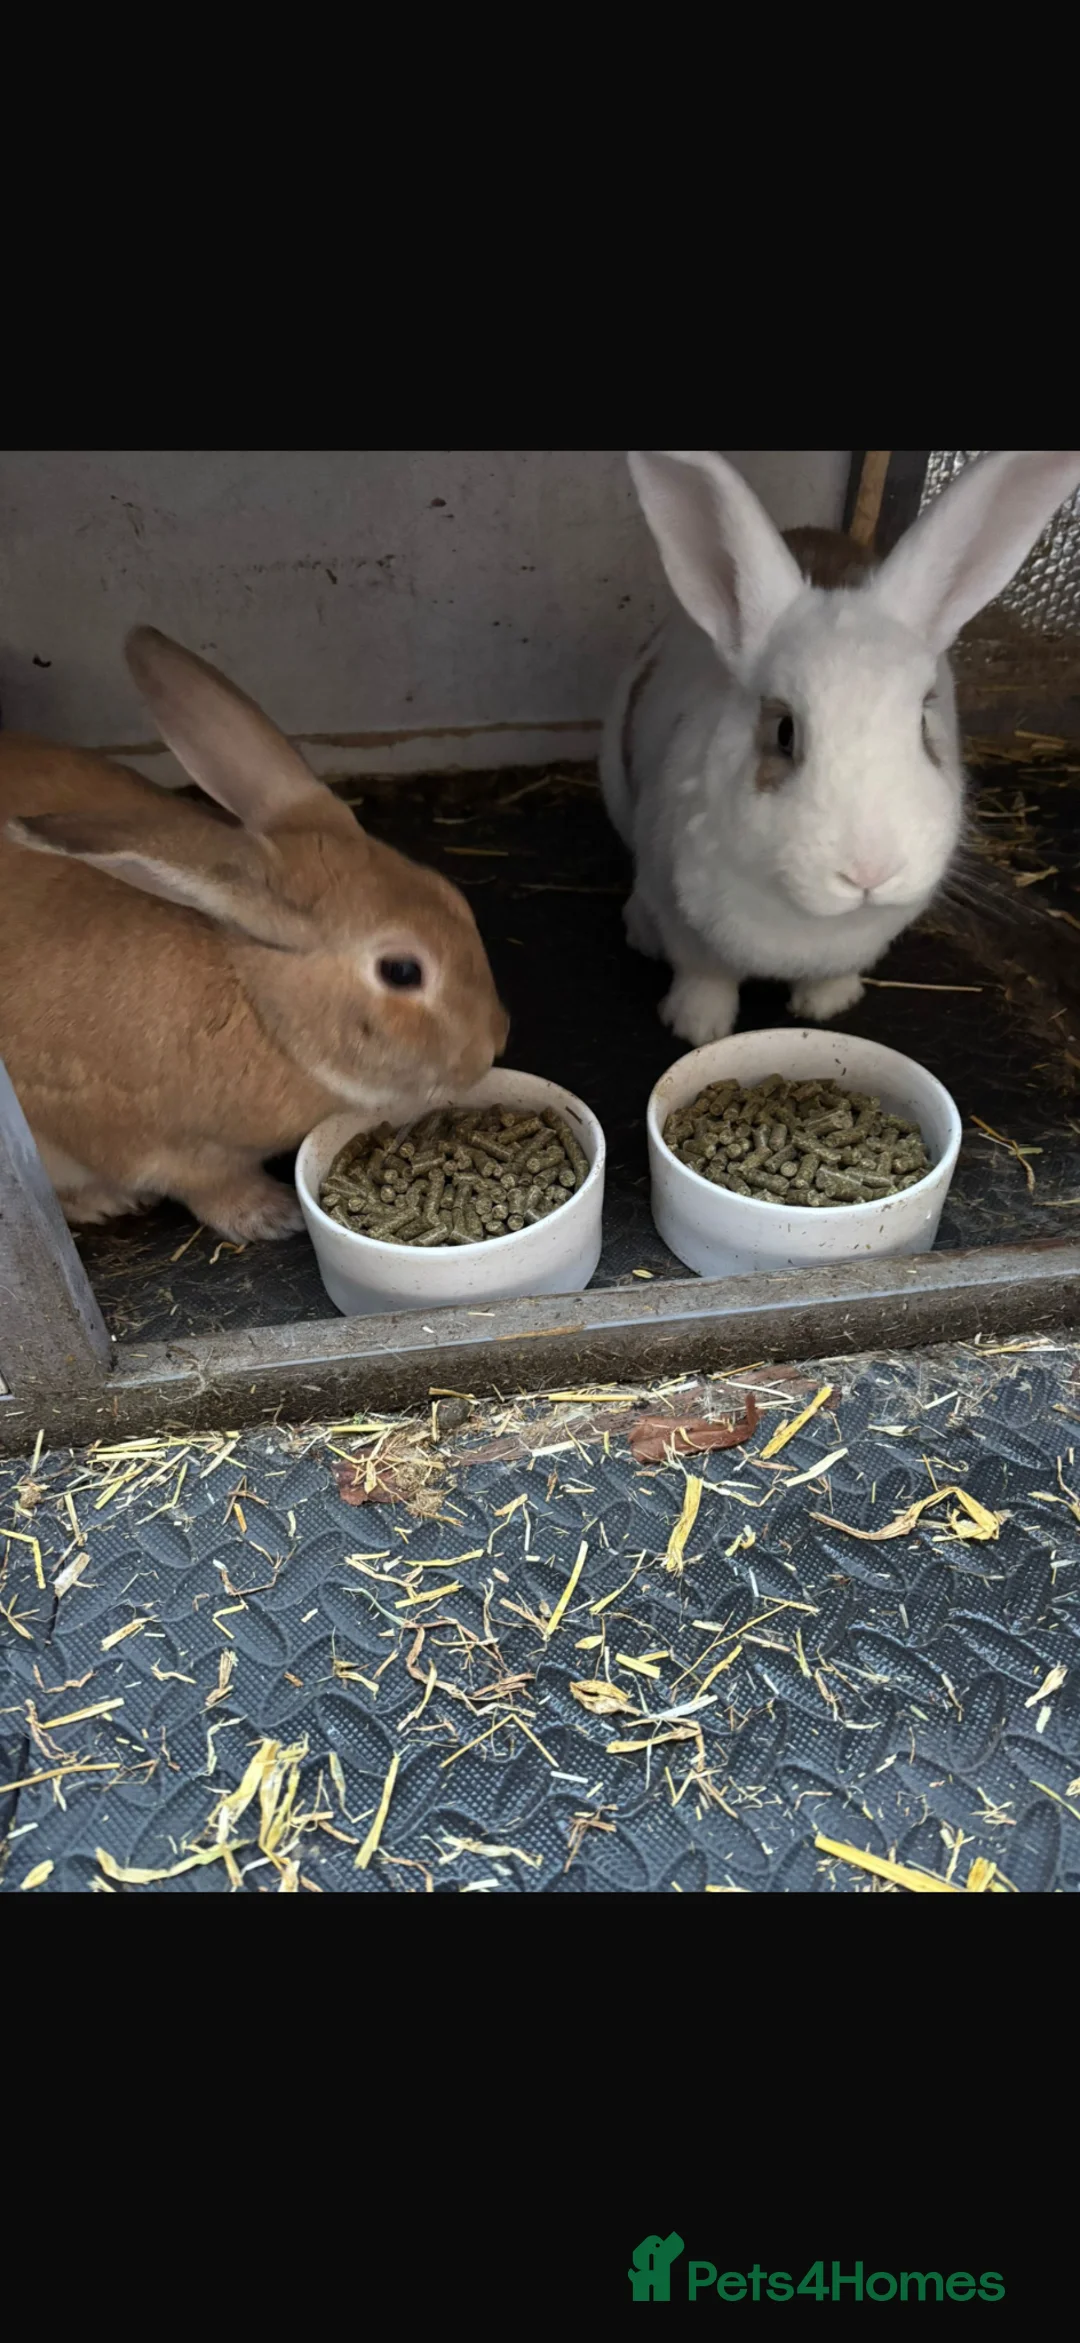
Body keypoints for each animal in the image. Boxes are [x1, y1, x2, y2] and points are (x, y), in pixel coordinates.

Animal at [0, 628, 509, 1242]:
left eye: (451, 895)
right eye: (402, 971)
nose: (492, 1044)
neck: (262, 1009)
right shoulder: (148, 1143)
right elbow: (204, 1187)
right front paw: (272, 1215)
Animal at [602, 450, 1080, 1047]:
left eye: (923, 722)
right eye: (784, 732)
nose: (869, 874)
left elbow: (832, 976)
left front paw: (828, 1006)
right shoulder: (685, 923)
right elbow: (704, 976)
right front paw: (697, 1028)